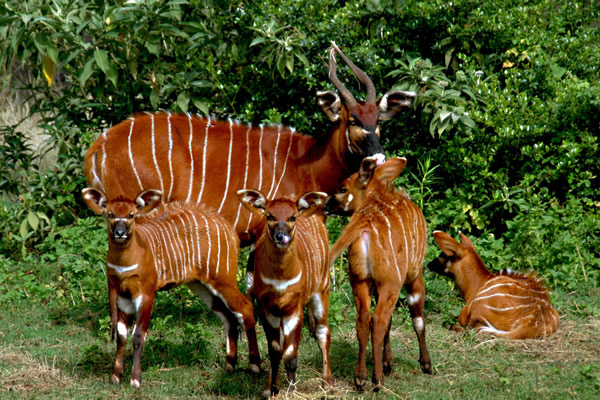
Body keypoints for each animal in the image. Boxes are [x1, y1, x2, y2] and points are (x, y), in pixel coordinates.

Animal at [81, 189, 258, 390]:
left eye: (131, 215)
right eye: (110, 214)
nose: (120, 233)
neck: (125, 263)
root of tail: (230, 230)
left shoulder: (146, 294)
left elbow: (138, 335)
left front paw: (135, 380)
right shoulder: (123, 297)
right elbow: (121, 335)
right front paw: (116, 377)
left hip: (224, 280)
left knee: (245, 308)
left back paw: (255, 367)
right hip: (201, 286)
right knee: (229, 317)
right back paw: (229, 366)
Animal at [238, 189, 332, 398]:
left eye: (292, 217)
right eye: (270, 215)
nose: (281, 236)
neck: (280, 280)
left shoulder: (294, 308)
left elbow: (291, 355)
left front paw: (292, 391)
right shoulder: (267, 308)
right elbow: (275, 351)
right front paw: (271, 389)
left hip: (322, 291)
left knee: (323, 332)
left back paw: (328, 383)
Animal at [324, 157, 432, 390]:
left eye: (342, 188)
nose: (326, 206)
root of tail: (364, 221)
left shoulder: (374, 283)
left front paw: (388, 362)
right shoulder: (414, 276)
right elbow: (417, 319)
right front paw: (426, 364)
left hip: (360, 280)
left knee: (364, 320)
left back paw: (361, 378)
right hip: (392, 282)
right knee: (379, 320)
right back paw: (377, 380)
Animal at [426, 230, 556, 340]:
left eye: (444, 254)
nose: (428, 264)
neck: (479, 284)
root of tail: (531, 321)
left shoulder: (464, 315)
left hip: (478, 310)